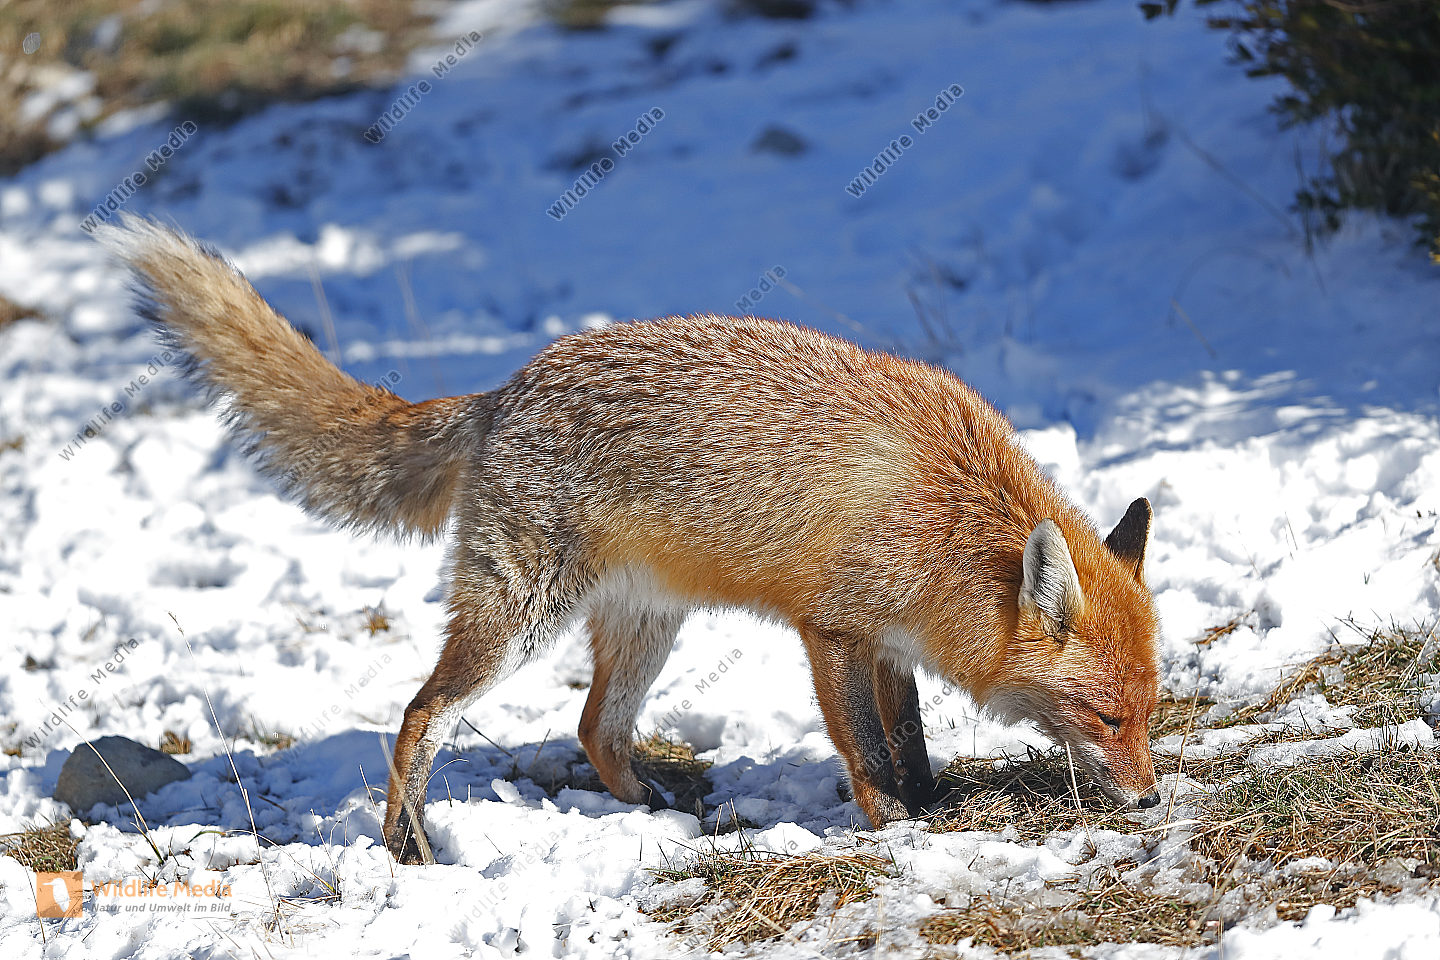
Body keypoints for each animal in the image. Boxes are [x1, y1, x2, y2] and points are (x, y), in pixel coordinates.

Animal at [99, 217, 1162, 865]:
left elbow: (910, 741)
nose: (1154, 802)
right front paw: (895, 828)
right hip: (519, 621)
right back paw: (408, 844)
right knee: (419, 713)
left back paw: (651, 810)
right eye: (1108, 718)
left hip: (649, 626)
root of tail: (504, 391)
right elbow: (866, 748)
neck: (946, 513)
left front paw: (930, 806)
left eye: (1152, 714)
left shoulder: (891, 643)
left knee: (592, 729)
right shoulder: (831, 631)